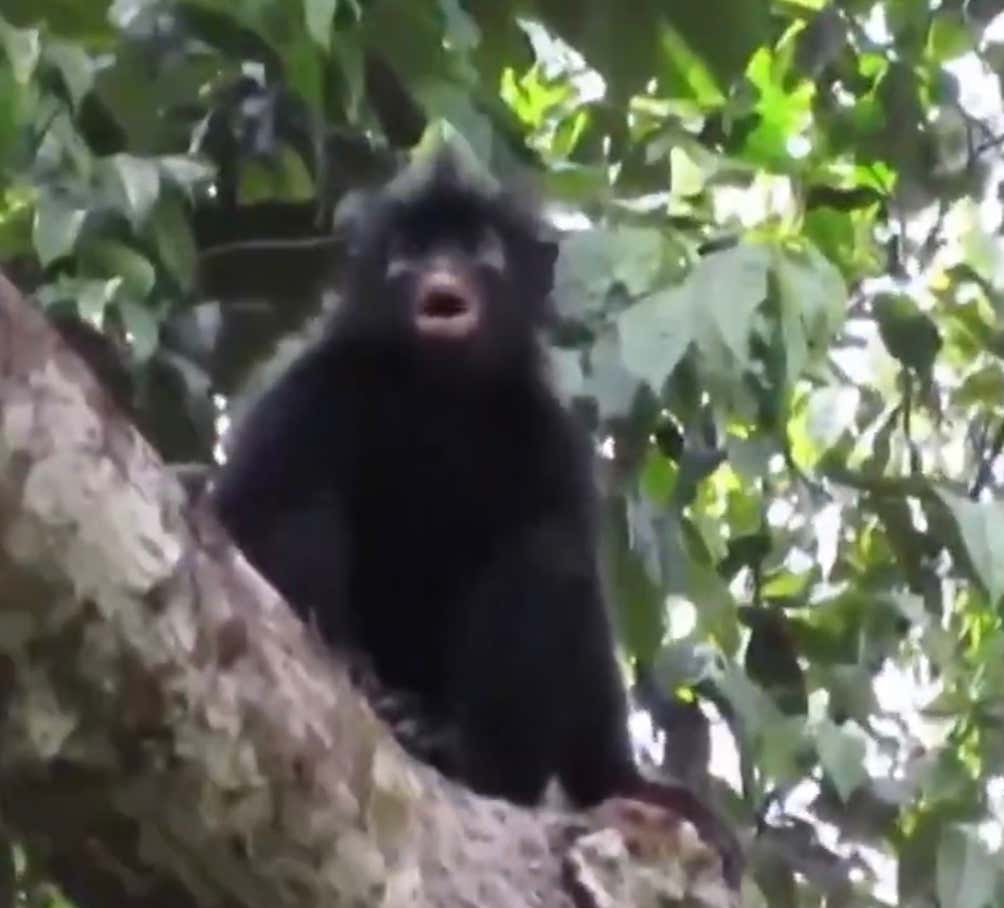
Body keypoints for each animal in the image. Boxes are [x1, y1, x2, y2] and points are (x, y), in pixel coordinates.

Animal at [211, 145, 742, 885]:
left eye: (475, 250)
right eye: (411, 252)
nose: (440, 272)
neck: (440, 395)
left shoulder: (549, 438)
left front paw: (623, 784)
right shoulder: (311, 387)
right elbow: (242, 512)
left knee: (544, 556)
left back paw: (456, 752)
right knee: (300, 498)